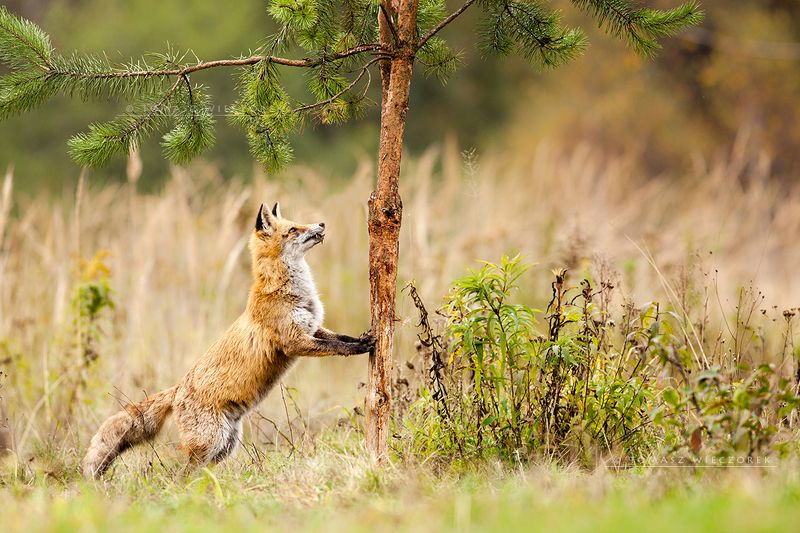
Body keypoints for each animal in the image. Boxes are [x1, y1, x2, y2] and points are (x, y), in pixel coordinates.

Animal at [81, 202, 374, 478]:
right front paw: (363, 347)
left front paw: (365, 337)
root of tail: (177, 390)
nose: (321, 223)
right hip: (210, 441)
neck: (285, 289)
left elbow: (341, 337)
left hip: (225, 445)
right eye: (293, 229)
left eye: (297, 223)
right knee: (179, 475)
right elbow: (336, 347)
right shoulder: (294, 341)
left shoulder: (313, 328)